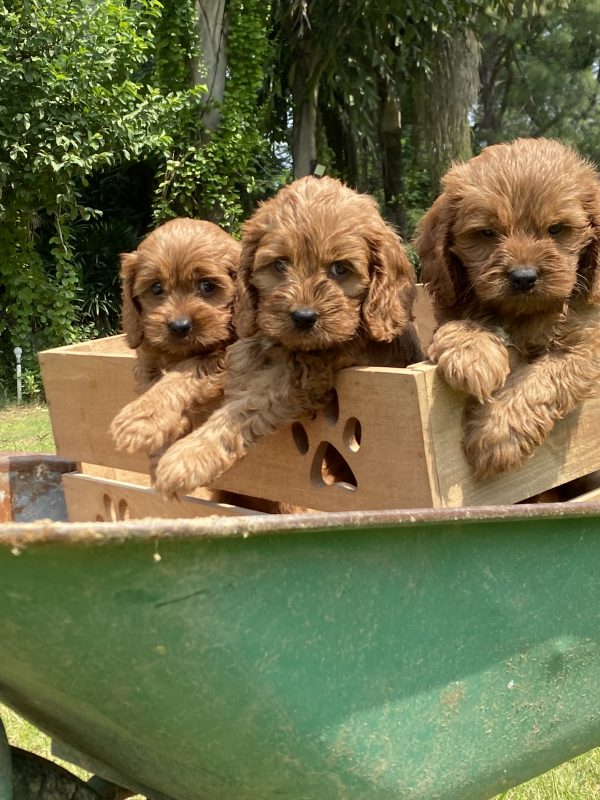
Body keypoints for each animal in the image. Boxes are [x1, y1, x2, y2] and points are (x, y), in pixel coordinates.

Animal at [109, 217, 240, 456]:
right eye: (156, 288)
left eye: (207, 286)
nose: (180, 326)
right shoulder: (146, 360)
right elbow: (150, 381)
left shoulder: (225, 354)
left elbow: (186, 371)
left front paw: (142, 419)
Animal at [152, 178, 424, 496]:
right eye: (280, 265)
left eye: (340, 269)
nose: (303, 317)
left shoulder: (309, 373)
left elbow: (247, 405)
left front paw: (186, 457)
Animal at [414, 137, 600, 478]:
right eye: (487, 233)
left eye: (556, 229)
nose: (523, 277)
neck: (522, 316)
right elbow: (463, 323)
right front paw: (471, 354)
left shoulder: (589, 344)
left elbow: (544, 376)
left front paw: (497, 432)